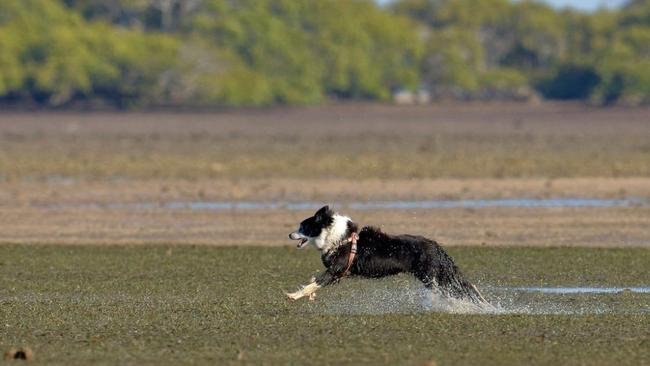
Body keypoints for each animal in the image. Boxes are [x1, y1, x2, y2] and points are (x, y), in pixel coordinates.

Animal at [284, 204, 486, 304]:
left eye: (303, 227)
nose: (289, 234)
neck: (339, 238)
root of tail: (436, 246)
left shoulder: (335, 270)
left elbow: (313, 283)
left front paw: (293, 295)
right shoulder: (339, 273)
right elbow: (313, 281)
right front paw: (309, 296)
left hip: (431, 277)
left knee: (458, 289)